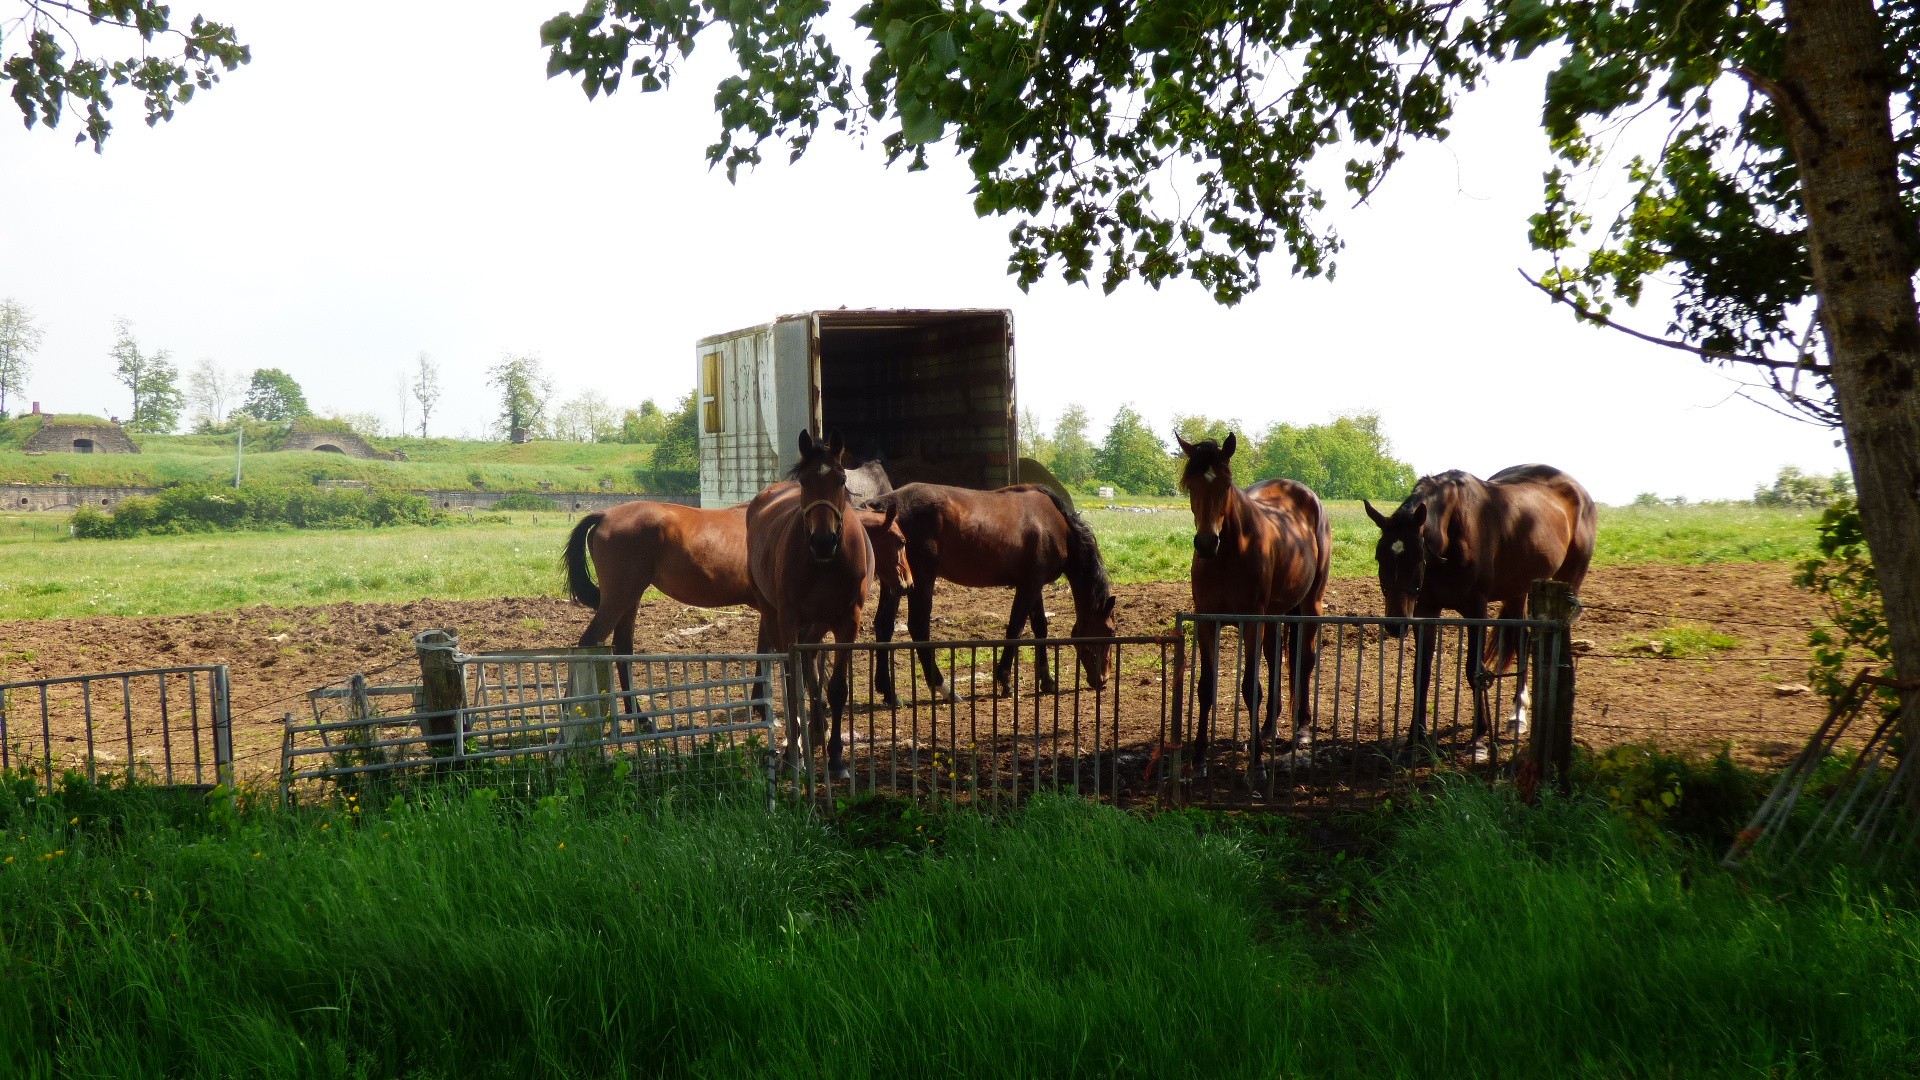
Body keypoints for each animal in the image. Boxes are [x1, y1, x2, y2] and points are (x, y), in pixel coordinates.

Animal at [564, 495, 910, 707]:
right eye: (900, 541)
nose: (907, 583)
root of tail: (605, 514)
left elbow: (764, 651)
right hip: (618, 598)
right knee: (587, 645)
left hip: (630, 599)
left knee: (622, 650)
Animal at [744, 426, 879, 772]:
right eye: (805, 481)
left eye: (841, 480)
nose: (823, 540)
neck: (824, 564)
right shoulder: (789, 621)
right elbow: (794, 685)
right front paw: (794, 751)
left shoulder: (848, 622)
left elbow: (837, 688)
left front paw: (836, 755)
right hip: (774, 615)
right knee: (795, 674)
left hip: (817, 624)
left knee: (812, 672)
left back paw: (817, 733)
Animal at [867, 478, 1121, 699]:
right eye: (1110, 632)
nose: (1103, 679)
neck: (1055, 525)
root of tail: (885, 506)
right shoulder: (1028, 586)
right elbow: (1015, 629)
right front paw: (1006, 681)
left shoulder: (1034, 584)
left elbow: (1040, 628)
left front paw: (1048, 681)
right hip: (922, 580)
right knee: (918, 627)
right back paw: (944, 688)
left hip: (895, 581)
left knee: (884, 625)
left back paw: (889, 693)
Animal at [1167, 430, 1336, 772]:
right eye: (1191, 485)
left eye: (1226, 483)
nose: (1206, 543)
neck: (1229, 554)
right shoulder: (1208, 623)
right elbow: (1206, 686)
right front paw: (1199, 757)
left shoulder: (1252, 621)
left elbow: (1250, 688)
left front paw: (1257, 761)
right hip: (1276, 614)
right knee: (1276, 658)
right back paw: (1269, 727)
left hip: (1310, 604)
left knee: (1305, 659)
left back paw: (1301, 728)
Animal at [1367, 463, 1605, 757]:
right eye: (1379, 556)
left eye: (1417, 556)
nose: (1395, 623)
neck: (1454, 531)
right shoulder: (1426, 609)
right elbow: (1421, 672)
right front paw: (1415, 738)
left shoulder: (1475, 610)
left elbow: (1474, 671)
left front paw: (1479, 738)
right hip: (1519, 590)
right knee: (1523, 640)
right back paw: (1517, 713)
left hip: (1568, 581)